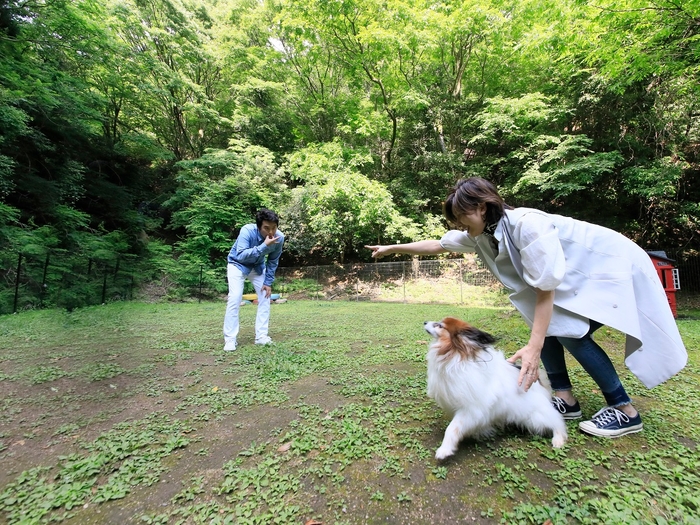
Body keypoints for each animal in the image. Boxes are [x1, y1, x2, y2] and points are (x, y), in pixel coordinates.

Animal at [424, 316, 568, 458]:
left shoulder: (471, 409)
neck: (455, 357)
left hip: (537, 416)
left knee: (556, 420)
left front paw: (444, 450)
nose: (425, 322)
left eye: (439, 326)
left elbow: (452, 428)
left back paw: (558, 439)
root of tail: (538, 381)